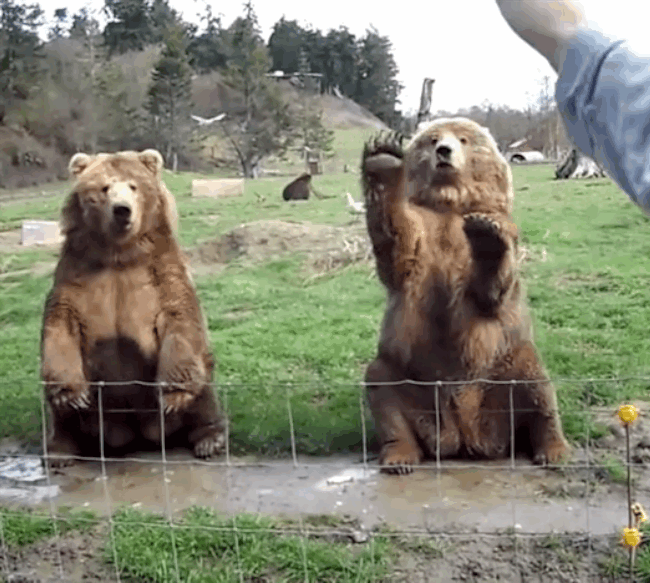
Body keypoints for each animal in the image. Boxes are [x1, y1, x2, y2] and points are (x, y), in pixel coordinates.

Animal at [41, 148, 226, 467]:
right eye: (104, 188)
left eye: (133, 186)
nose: (122, 210)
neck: (119, 255)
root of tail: (137, 435)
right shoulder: (75, 275)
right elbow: (61, 323)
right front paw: (70, 395)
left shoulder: (161, 276)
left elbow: (180, 320)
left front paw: (172, 397)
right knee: (62, 417)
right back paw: (60, 450)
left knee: (203, 390)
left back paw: (208, 440)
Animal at [360, 117, 570, 475]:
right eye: (432, 139)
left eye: (463, 139)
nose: (444, 151)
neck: (451, 204)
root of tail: (463, 436)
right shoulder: (424, 237)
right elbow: (398, 252)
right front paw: (383, 162)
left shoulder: (495, 235)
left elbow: (488, 293)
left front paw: (486, 236)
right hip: (412, 379)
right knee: (382, 387)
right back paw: (399, 455)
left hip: (504, 370)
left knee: (538, 387)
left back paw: (553, 450)